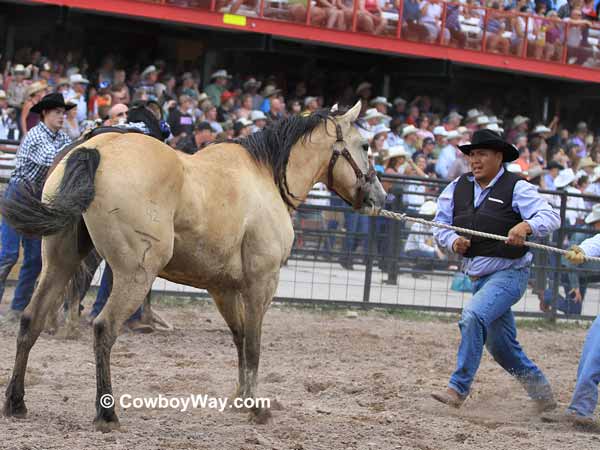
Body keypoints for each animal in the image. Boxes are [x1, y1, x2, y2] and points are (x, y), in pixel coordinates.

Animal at [1, 100, 384, 430]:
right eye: (365, 145)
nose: (379, 197)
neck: (264, 176)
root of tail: (95, 149)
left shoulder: (223, 288)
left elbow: (240, 338)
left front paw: (240, 399)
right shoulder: (261, 283)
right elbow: (254, 344)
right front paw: (256, 408)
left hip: (59, 262)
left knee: (31, 320)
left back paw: (16, 402)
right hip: (134, 275)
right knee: (104, 329)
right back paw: (106, 415)